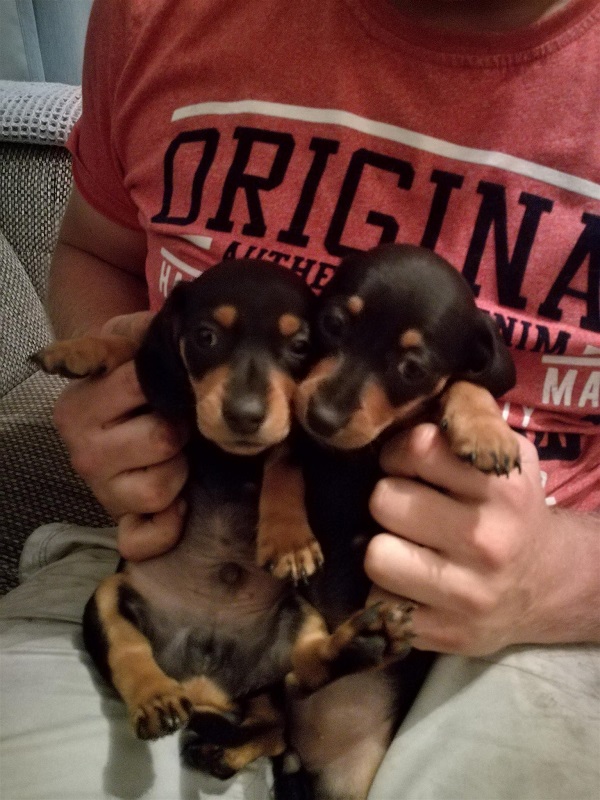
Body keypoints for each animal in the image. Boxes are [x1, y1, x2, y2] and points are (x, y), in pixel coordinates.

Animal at [36, 260, 412, 780]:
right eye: (206, 336)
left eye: (300, 346)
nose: (245, 416)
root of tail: (205, 685)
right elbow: (133, 352)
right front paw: (80, 350)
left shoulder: (289, 434)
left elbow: (282, 463)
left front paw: (287, 540)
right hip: (109, 596)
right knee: (131, 651)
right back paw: (159, 701)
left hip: (297, 614)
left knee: (299, 680)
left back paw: (357, 644)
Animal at [284, 244, 516, 800]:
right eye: (332, 324)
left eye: (411, 369)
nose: (321, 418)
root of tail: (310, 758)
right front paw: (291, 540)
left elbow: (465, 384)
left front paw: (487, 430)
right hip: (294, 611)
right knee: (300, 671)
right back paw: (360, 641)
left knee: (301, 678)